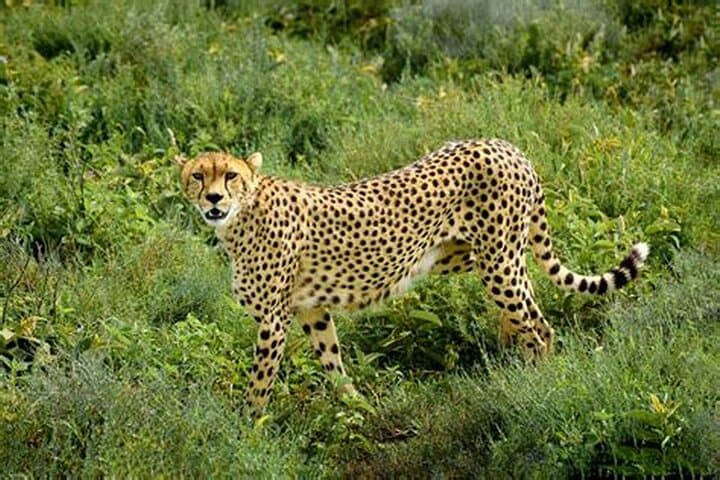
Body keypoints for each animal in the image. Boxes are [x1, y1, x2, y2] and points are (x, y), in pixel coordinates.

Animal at [177, 138, 649, 414]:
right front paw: (359, 411)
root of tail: (505, 145)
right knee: (526, 307)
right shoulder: (311, 310)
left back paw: (535, 383)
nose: (213, 198)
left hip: (497, 259)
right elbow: (333, 362)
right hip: (471, 256)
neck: (239, 219)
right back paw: (510, 347)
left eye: (231, 175)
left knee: (540, 325)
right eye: (198, 175)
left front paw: (247, 428)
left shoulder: (273, 321)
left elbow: (259, 383)